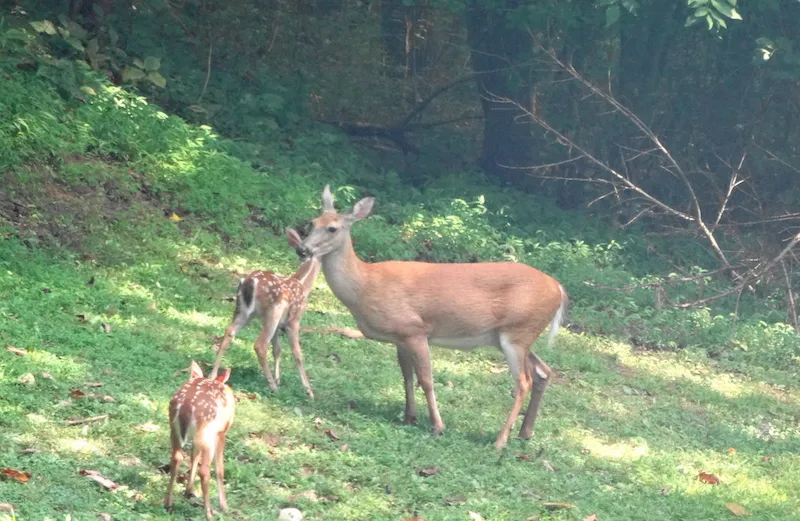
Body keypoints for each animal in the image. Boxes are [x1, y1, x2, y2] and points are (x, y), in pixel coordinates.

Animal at [165, 360, 234, 516]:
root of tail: (185, 406)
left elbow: (194, 456)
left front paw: (189, 490)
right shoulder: (221, 433)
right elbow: (219, 469)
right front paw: (224, 506)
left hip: (175, 429)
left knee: (177, 458)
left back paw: (168, 503)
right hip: (206, 432)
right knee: (204, 471)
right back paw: (209, 513)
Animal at [211, 225, 324, 396]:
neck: (303, 284)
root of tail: (250, 282)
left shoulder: (279, 325)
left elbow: (277, 350)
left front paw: (278, 379)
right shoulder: (294, 320)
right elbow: (297, 352)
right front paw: (309, 391)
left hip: (242, 310)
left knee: (229, 332)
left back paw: (212, 375)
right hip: (272, 311)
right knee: (260, 345)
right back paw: (273, 387)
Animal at [296, 185, 568, 448]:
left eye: (332, 228)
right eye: (312, 222)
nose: (303, 249)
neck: (365, 285)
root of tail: (559, 289)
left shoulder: (415, 329)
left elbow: (426, 379)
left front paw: (437, 426)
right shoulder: (400, 337)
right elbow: (406, 376)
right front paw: (410, 417)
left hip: (517, 332)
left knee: (524, 381)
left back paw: (500, 441)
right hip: (514, 336)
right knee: (543, 371)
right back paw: (524, 433)